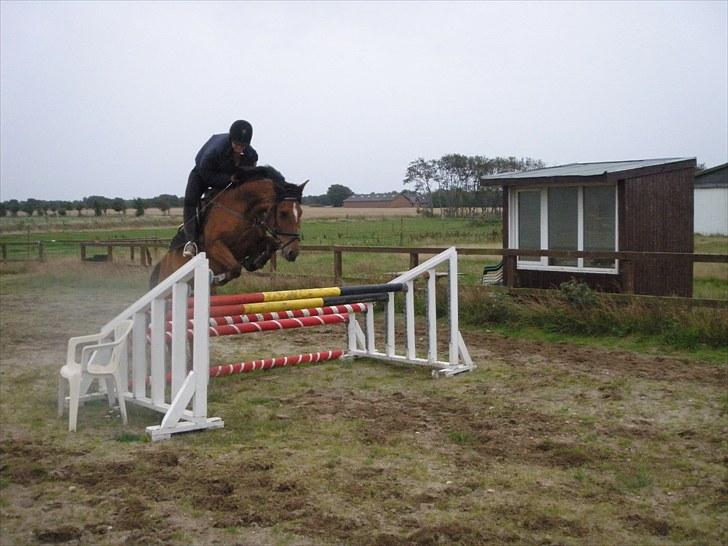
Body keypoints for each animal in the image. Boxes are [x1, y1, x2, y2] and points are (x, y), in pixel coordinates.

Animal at [149, 164, 306, 286]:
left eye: (300, 212)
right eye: (283, 213)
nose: (293, 253)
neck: (241, 210)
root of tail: (163, 261)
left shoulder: (252, 243)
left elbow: (271, 243)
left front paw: (254, 262)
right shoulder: (215, 245)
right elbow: (235, 268)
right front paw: (218, 278)